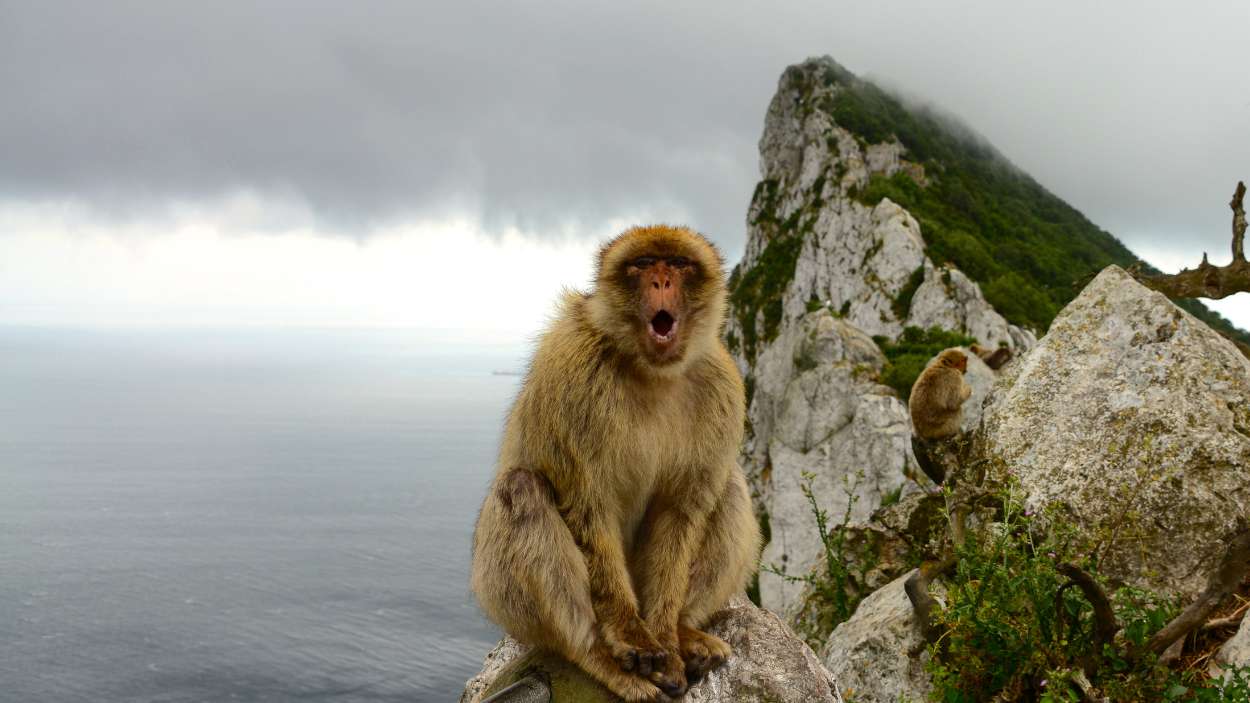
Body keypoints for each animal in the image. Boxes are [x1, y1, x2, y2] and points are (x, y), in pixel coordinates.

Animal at [470, 225, 755, 700]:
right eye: (642, 265)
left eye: (679, 264)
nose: (661, 281)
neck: (653, 373)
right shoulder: (574, 373)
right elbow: (588, 506)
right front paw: (632, 637)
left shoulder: (721, 385)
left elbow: (680, 512)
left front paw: (665, 634)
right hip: (499, 595)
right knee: (522, 488)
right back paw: (598, 656)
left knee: (728, 484)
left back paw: (683, 631)